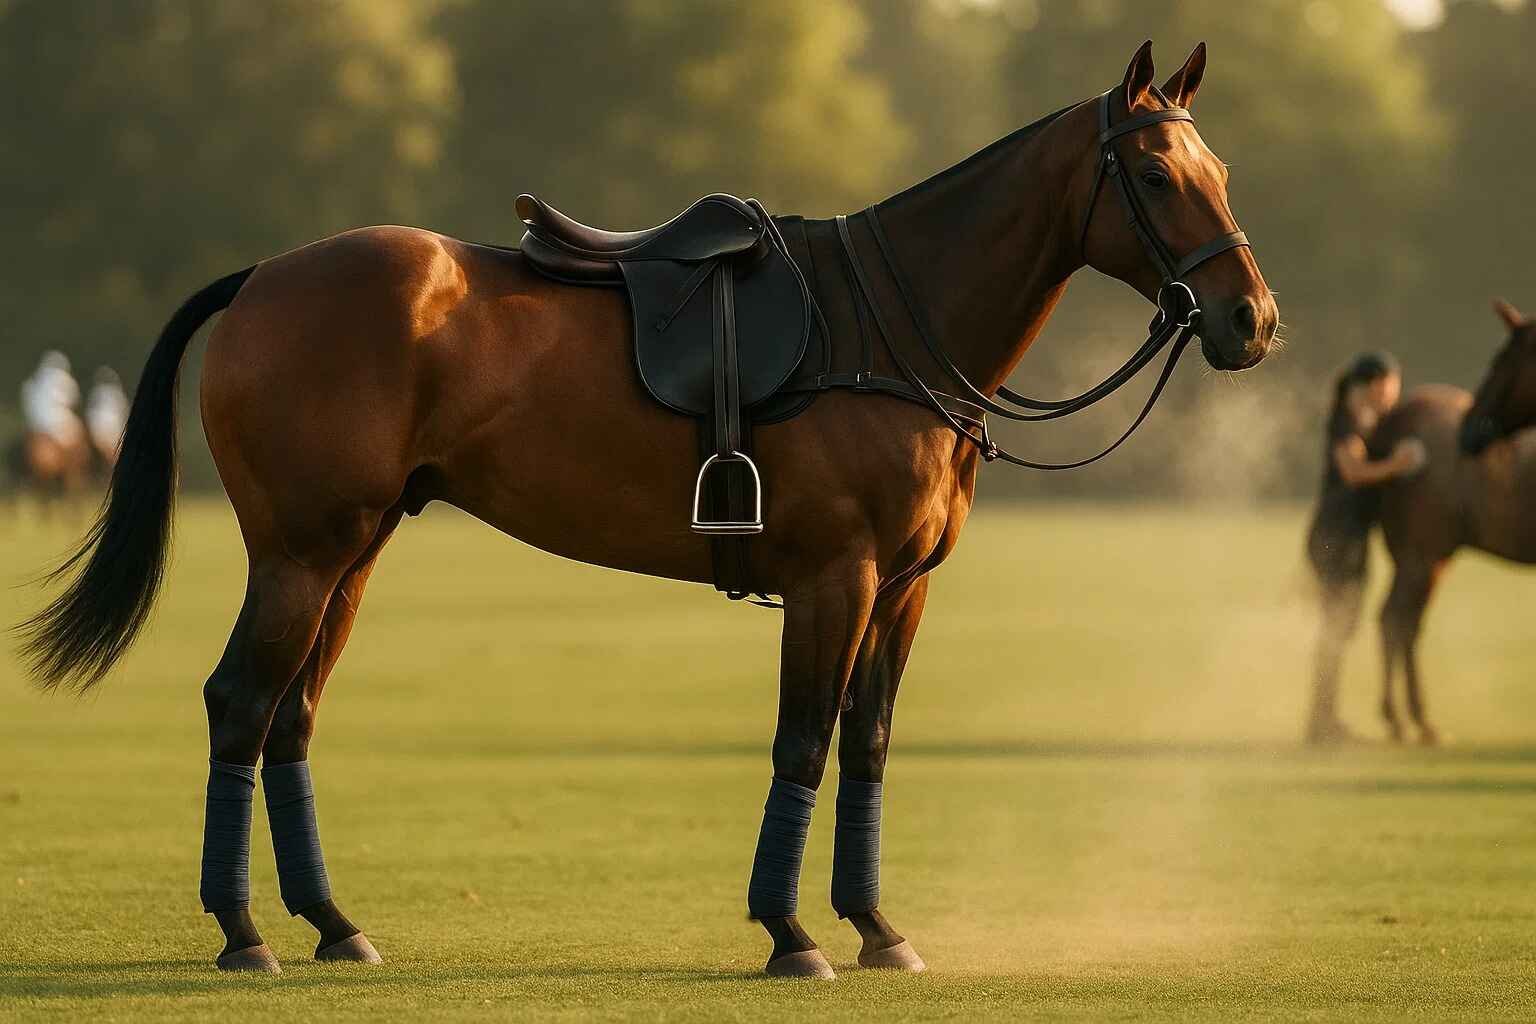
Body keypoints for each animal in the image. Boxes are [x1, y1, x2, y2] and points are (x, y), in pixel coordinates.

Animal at [17, 42, 1275, 978]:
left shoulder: (902, 592)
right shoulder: (835, 576)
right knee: (240, 701)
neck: (895, 326)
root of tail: (264, 276)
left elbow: (867, 743)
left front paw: (876, 926)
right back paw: (243, 933)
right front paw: (791, 933)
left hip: (354, 553)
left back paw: (333, 923)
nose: (1251, 321)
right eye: (1155, 175)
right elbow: (804, 739)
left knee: (292, 712)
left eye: (1219, 167)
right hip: (299, 550)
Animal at [1308, 300, 1536, 746]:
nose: (1471, 430)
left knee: (1397, 624)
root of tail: (1392, 422)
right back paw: (1405, 719)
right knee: (1396, 622)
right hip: (1422, 557)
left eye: (1501, 360)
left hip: (1425, 560)